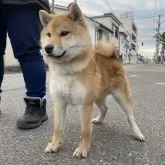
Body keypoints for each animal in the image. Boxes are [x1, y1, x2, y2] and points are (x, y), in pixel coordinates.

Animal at [39, 2, 144, 157]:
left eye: (64, 33)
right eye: (48, 35)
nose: (47, 48)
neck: (68, 70)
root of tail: (113, 57)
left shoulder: (85, 104)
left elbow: (85, 131)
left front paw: (82, 149)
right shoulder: (59, 102)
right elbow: (58, 128)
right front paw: (54, 144)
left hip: (121, 97)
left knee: (130, 117)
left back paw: (137, 133)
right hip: (98, 97)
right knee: (105, 108)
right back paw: (99, 120)